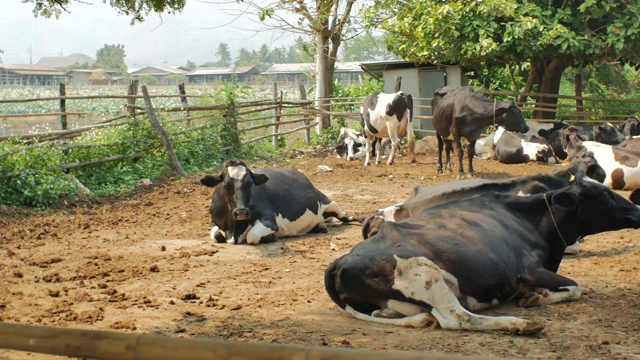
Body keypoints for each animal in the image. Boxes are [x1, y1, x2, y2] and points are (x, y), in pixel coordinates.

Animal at [200, 160, 352, 245]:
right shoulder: (216, 222)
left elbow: (252, 236)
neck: (234, 230)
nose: (241, 212)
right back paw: (320, 227)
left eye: (250, 183)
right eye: (226, 185)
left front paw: (270, 237)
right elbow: (216, 236)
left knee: (345, 216)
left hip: (329, 203)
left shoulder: (269, 220)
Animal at [324, 180, 640, 334]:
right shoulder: (528, 269)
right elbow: (575, 287)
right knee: (456, 317)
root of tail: (341, 261)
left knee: (392, 313)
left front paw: (537, 296)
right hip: (424, 275)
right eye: (606, 195)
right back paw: (518, 324)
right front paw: (538, 298)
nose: (637, 209)